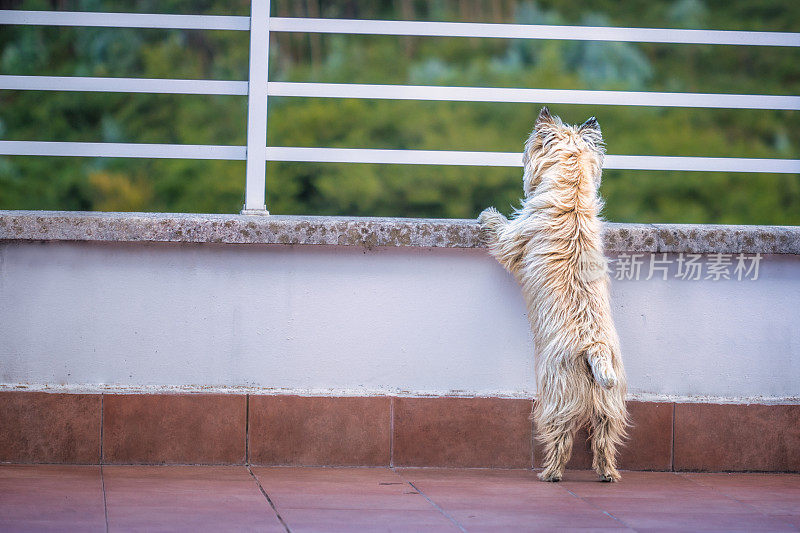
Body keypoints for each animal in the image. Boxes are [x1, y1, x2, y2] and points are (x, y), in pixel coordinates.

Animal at [478, 107, 628, 482]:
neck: (571, 193)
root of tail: (594, 350)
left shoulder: (514, 239)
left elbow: (500, 233)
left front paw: (487, 214)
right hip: (610, 401)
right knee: (605, 438)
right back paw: (607, 473)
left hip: (556, 388)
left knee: (561, 434)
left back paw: (550, 473)